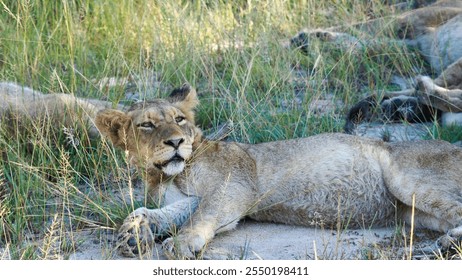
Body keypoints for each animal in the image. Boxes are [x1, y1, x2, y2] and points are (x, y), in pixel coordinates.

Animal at [95, 84, 462, 260]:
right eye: (146, 125)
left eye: (179, 119)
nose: (176, 141)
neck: (164, 173)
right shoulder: (192, 197)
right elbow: (151, 210)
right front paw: (133, 234)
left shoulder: (235, 185)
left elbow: (201, 216)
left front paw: (182, 243)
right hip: (414, 212)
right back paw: (439, 245)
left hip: (406, 179)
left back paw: (442, 245)